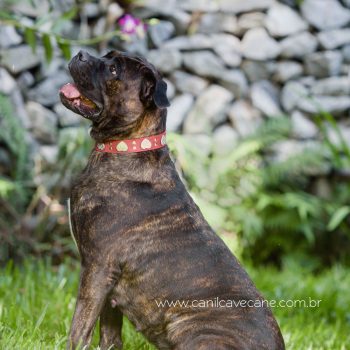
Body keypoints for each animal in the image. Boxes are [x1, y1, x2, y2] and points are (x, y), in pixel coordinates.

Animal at [60, 50, 284, 350]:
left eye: (113, 70)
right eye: (107, 56)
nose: (81, 53)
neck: (126, 148)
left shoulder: (97, 267)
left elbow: (80, 326)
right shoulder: (109, 286)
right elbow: (109, 332)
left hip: (193, 330)